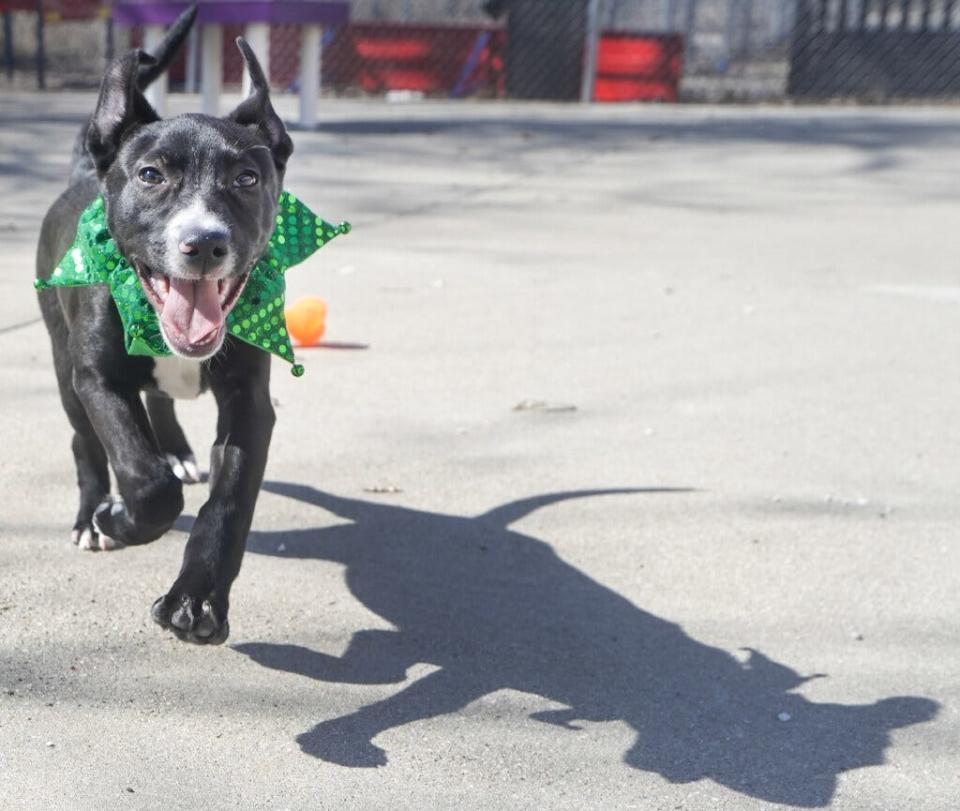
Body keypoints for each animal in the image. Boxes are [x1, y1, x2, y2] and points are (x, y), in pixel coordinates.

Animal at [35, 9, 294, 644]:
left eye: (247, 179)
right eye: (151, 175)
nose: (204, 243)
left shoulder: (251, 403)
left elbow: (229, 503)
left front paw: (197, 602)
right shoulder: (99, 380)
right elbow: (144, 478)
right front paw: (118, 517)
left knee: (160, 404)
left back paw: (174, 450)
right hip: (64, 366)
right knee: (85, 443)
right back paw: (92, 515)